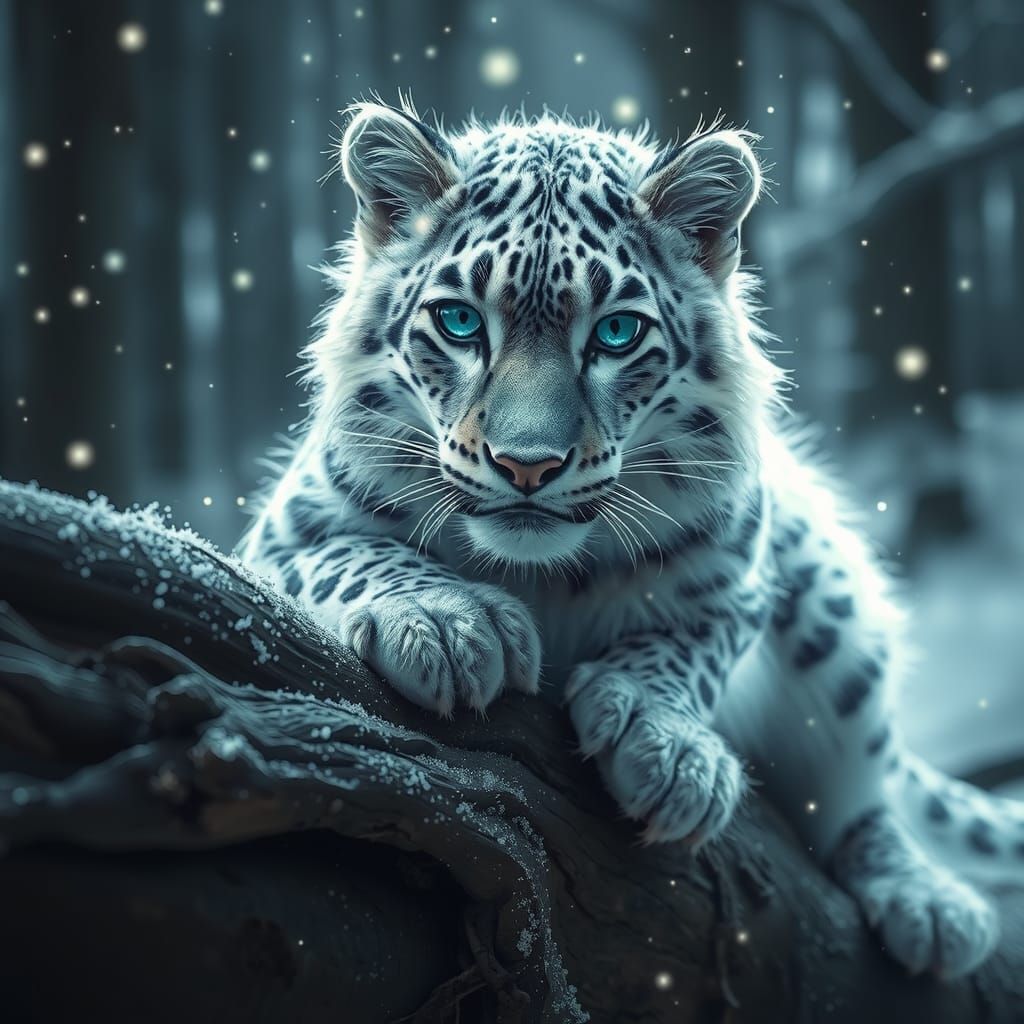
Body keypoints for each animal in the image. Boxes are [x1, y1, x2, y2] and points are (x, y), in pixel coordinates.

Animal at [238, 99, 1024, 979]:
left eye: (615, 334)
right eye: (459, 320)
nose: (527, 464)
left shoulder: (740, 575)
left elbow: (692, 644)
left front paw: (665, 743)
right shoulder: (282, 537)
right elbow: (359, 555)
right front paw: (448, 625)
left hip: (835, 606)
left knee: (862, 799)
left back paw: (932, 906)